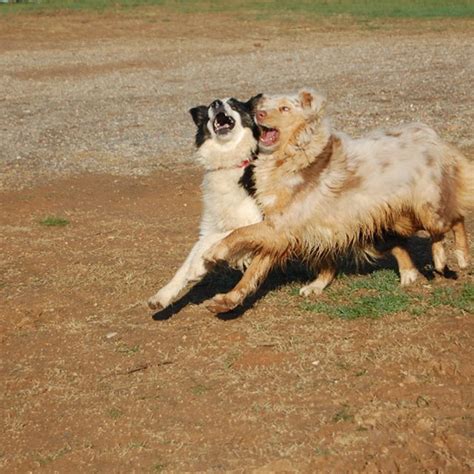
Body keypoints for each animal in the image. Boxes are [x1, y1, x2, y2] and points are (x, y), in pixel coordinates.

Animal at [148, 95, 262, 312]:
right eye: (210, 107)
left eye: (234, 104)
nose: (217, 103)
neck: (229, 164)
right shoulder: (210, 226)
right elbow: (191, 256)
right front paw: (163, 295)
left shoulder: (265, 221)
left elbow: (230, 233)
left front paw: (198, 266)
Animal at [204, 88, 474, 314]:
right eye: (265, 106)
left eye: (285, 108)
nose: (258, 113)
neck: (292, 156)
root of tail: (431, 136)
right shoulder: (289, 232)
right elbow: (254, 271)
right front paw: (227, 300)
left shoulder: (281, 227)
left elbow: (239, 233)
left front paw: (214, 251)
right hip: (392, 218)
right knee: (416, 239)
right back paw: (415, 272)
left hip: (425, 209)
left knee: (455, 219)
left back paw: (458, 256)